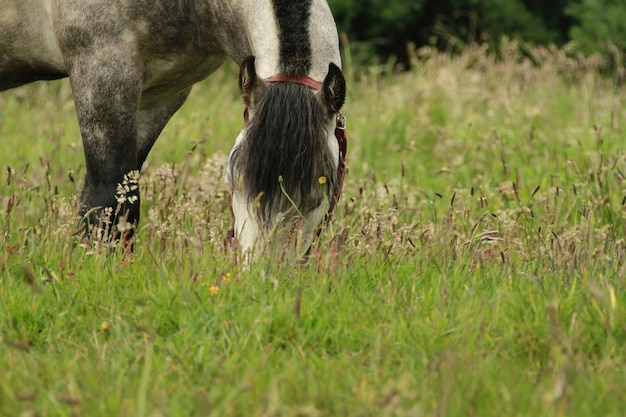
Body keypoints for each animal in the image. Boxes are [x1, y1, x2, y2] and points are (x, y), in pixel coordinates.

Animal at [0, 0, 346, 256]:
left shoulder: (161, 96)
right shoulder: (102, 72)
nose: (263, 276)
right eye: (234, 181)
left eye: (319, 195)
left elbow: (106, 198)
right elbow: (110, 201)